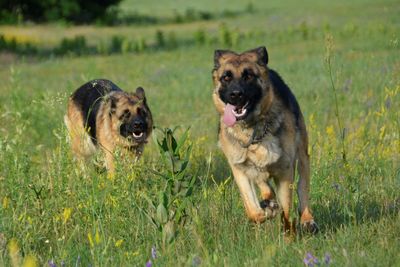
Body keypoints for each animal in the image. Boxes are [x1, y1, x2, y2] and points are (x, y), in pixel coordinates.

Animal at [212, 46, 318, 234]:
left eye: (248, 76)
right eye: (226, 77)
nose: (235, 95)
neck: (251, 131)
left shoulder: (285, 171)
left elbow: (286, 209)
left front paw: (288, 233)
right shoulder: (240, 170)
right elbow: (253, 211)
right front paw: (267, 210)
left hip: (302, 156)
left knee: (302, 187)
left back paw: (307, 220)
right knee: (264, 186)